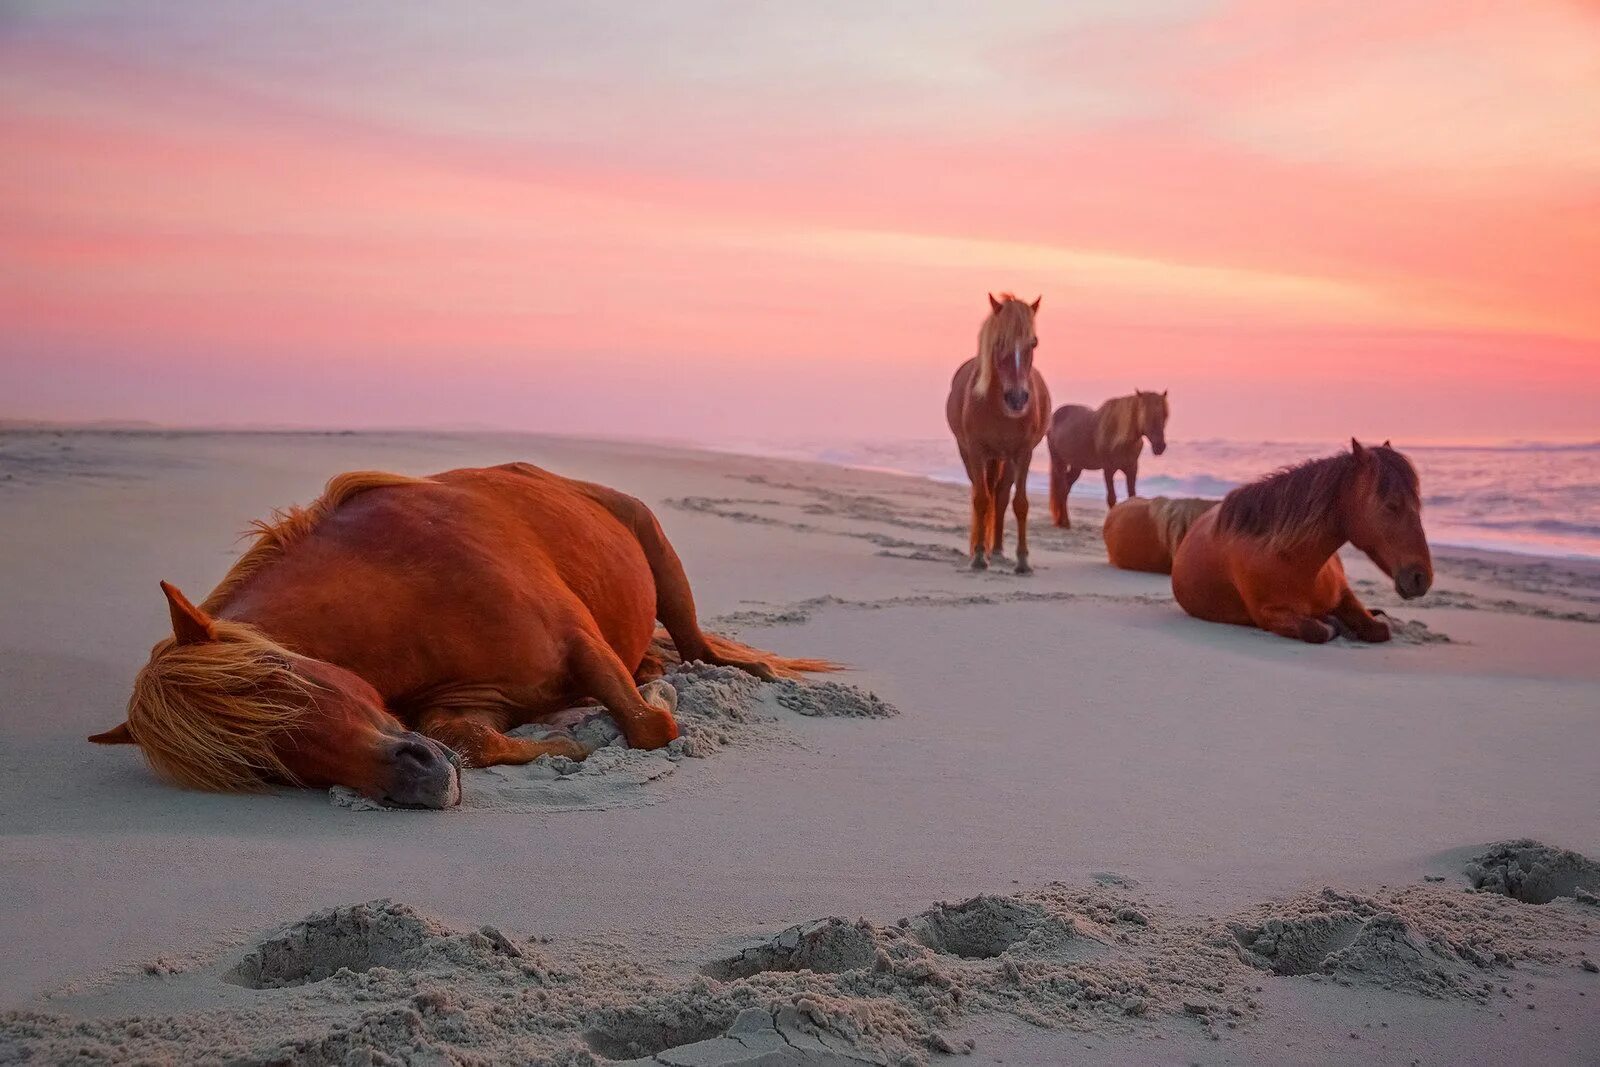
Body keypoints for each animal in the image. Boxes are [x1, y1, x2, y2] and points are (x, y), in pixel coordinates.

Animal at [87, 463, 838, 806]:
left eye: (282, 675)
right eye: (261, 767)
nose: (416, 782)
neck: (403, 590)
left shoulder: (580, 644)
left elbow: (650, 727)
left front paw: (639, 714)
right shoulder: (468, 700)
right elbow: (473, 742)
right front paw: (569, 744)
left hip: (659, 558)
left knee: (698, 648)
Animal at [940, 292, 1056, 575]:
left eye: (1034, 342)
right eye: (998, 341)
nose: (1017, 398)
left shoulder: (1023, 453)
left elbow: (1020, 503)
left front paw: (1023, 561)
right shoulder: (976, 451)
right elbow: (981, 500)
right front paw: (979, 556)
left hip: (1005, 458)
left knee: (1001, 496)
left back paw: (999, 550)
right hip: (975, 455)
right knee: (982, 492)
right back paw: (982, 549)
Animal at [1043, 388, 1171, 531]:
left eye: (1165, 416)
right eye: (1145, 415)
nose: (1160, 447)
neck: (1119, 437)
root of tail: (1053, 418)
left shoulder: (1132, 469)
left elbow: (1132, 496)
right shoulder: (1109, 469)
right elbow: (1111, 498)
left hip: (1077, 466)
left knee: (1065, 489)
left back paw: (1063, 521)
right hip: (1058, 462)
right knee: (1061, 488)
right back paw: (1063, 522)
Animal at [1171, 441, 1433, 643]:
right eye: (1392, 505)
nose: (1421, 578)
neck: (1295, 562)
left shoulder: (1344, 594)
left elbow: (1378, 630)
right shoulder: (1268, 615)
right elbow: (1315, 630)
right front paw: (1331, 623)